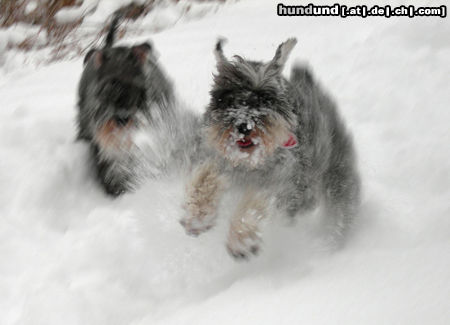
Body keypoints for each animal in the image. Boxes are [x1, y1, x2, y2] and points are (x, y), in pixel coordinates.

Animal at [181, 38, 360, 260]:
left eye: (265, 98)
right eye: (228, 97)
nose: (244, 126)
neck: (248, 164)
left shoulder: (287, 183)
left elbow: (256, 202)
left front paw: (242, 240)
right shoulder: (217, 159)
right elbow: (205, 178)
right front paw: (198, 216)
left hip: (337, 181)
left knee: (339, 214)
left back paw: (328, 244)